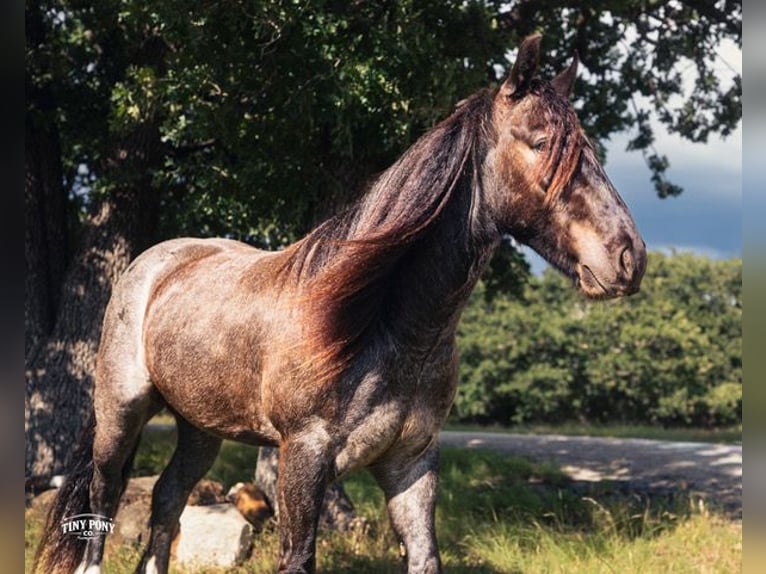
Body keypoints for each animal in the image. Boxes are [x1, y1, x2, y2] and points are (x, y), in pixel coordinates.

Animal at [34, 34, 646, 574]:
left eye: (592, 150)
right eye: (540, 142)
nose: (628, 257)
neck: (384, 329)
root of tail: (154, 262)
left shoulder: (411, 462)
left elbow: (424, 556)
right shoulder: (303, 460)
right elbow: (297, 557)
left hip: (200, 426)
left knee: (167, 498)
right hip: (121, 413)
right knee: (105, 495)